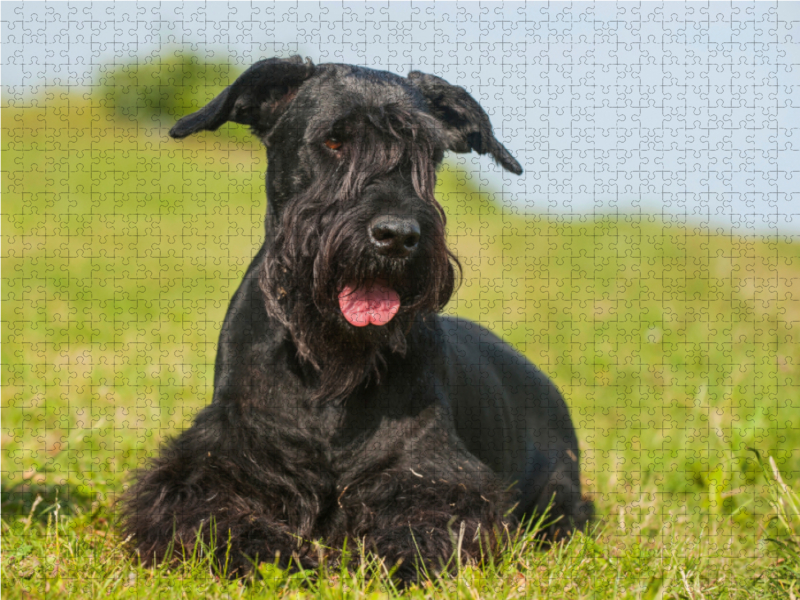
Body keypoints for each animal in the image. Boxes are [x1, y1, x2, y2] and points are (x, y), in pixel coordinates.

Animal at [122, 56, 592, 580]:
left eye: (428, 151)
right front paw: (269, 551)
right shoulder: (215, 461)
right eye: (333, 141)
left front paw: (390, 559)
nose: (397, 235)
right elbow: (211, 513)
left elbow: (426, 521)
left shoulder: (435, 473)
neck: (326, 369)